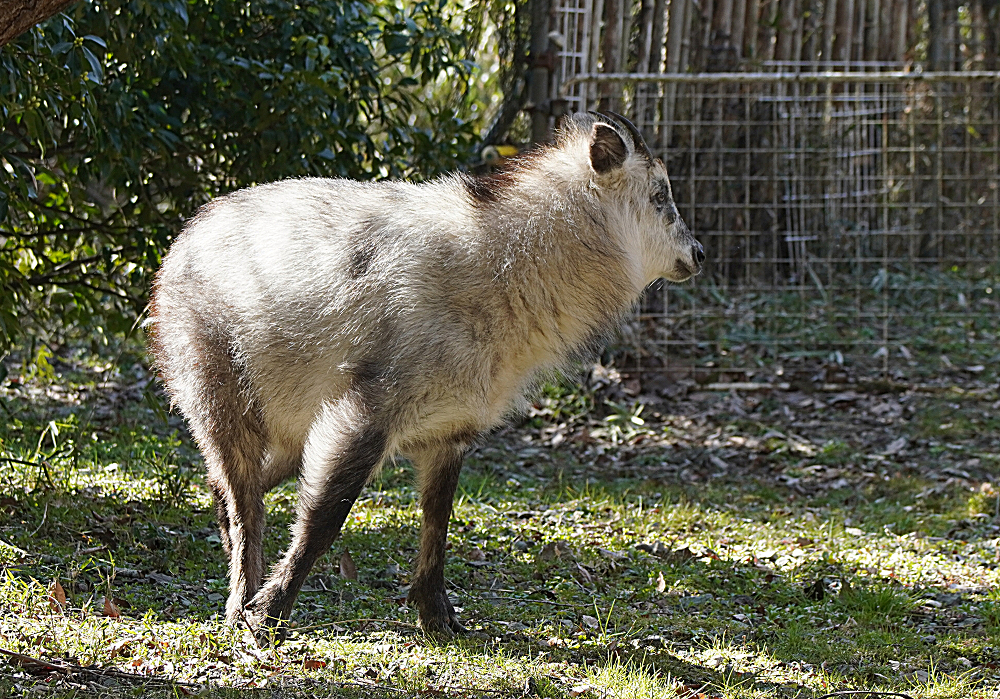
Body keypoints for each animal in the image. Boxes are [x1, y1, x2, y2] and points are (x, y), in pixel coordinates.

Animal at [148, 112, 704, 642]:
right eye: (660, 195)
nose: (698, 253)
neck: (504, 267)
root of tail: (185, 237)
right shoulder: (363, 417)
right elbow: (325, 520)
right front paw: (269, 611)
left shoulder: (449, 433)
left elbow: (438, 527)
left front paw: (437, 616)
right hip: (226, 406)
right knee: (246, 504)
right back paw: (241, 598)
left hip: (290, 435)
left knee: (228, 490)